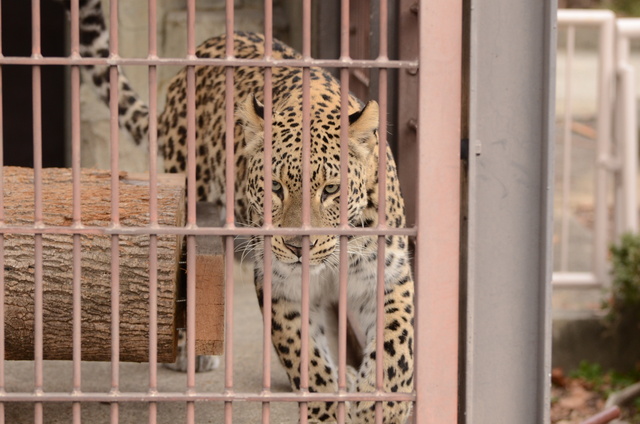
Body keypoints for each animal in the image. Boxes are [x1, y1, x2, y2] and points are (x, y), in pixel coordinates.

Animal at [63, 1, 416, 422]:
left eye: (331, 190)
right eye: (276, 187)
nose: (298, 247)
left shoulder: (387, 272)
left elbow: (397, 346)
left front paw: (382, 404)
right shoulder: (280, 283)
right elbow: (305, 356)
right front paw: (325, 406)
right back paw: (190, 355)